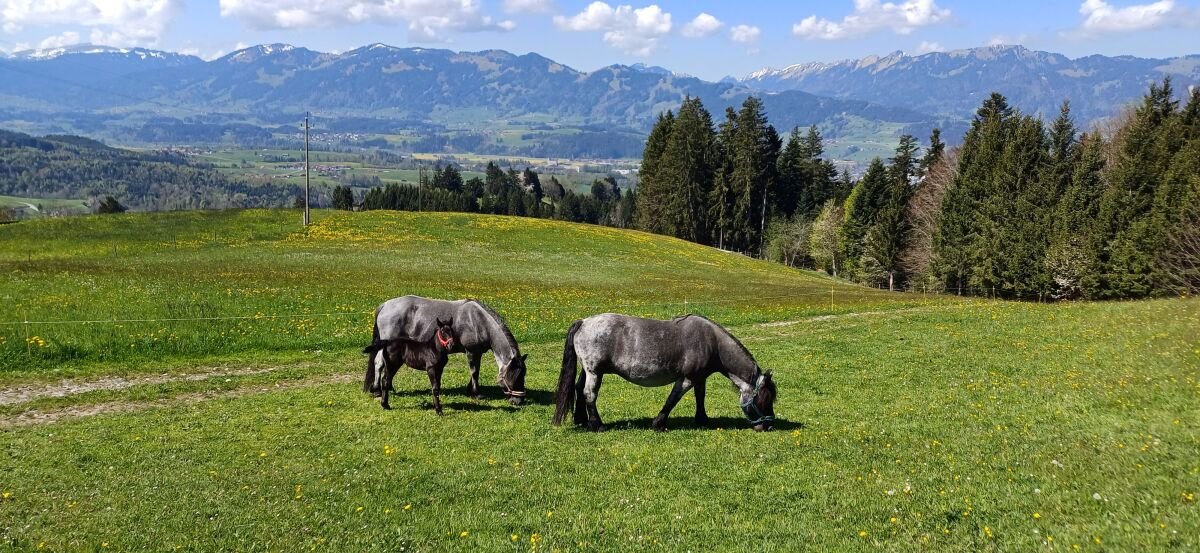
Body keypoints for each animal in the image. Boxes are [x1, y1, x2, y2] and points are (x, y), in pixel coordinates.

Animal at [364, 295, 529, 405]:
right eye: (513, 377)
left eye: (523, 375)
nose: (518, 401)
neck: (479, 321)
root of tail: (385, 305)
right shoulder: (471, 351)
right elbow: (474, 371)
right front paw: (477, 394)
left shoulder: (477, 352)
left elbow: (475, 371)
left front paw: (469, 390)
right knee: (379, 363)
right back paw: (377, 390)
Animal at [553, 313, 777, 432]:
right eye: (763, 399)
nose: (767, 426)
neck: (711, 342)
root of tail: (583, 322)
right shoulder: (687, 378)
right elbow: (672, 399)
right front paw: (659, 424)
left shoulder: (700, 378)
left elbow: (700, 397)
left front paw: (702, 420)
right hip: (594, 372)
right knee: (589, 394)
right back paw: (597, 425)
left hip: (589, 370)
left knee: (579, 389)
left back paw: (582, 420)